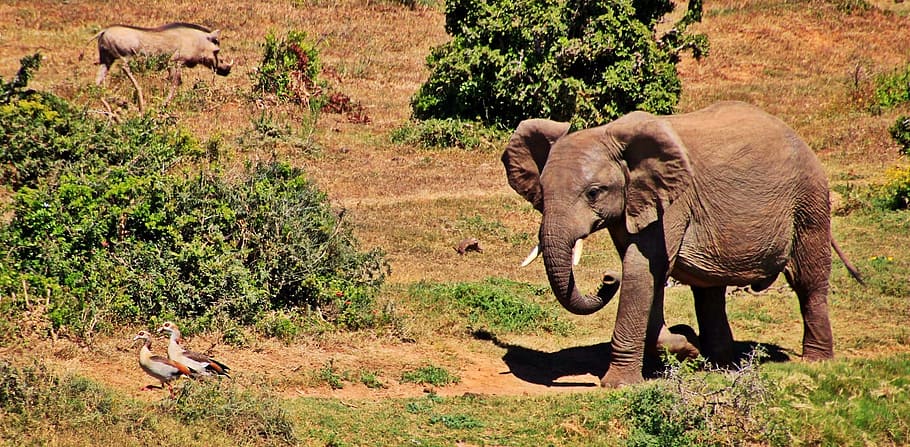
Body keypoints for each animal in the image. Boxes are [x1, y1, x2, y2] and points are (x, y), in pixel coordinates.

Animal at [501, 101, 863, 388]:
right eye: (543, 193)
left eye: (593, 193)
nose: (606, 279)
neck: (615, 136)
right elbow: (649, 277)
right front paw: (687, 346)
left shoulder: (674, 202)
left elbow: (642, 271)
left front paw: (619, 383)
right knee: (710, 290)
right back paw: (721, 365)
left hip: (810, 199)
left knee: (808, 282)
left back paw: (816, 362)